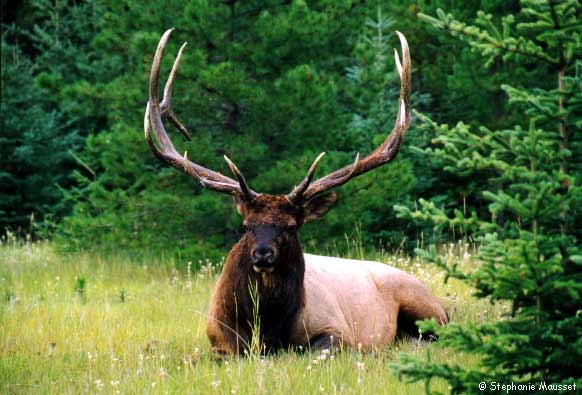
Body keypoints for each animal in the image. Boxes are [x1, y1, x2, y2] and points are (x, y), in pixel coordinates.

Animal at [145, 28, 448, 356]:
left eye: (291, 226)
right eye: (247, 226)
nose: (263, 253)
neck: (266, 331)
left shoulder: (338, 331)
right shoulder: (218, 339)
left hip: (426, 306)